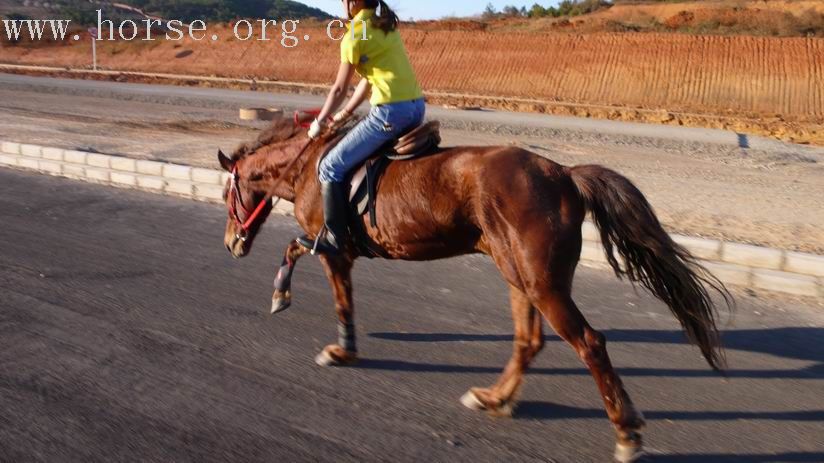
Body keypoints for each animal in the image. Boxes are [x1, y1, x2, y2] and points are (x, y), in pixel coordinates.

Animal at [217, 113, 728, 463]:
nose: (230, 244)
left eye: (228, 193)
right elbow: (305, 261)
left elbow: (329, 287)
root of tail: (565, 174)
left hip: (541, 282)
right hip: (519, 275)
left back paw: (626, 433)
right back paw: (494, 398)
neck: (309, 167)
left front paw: (334, 343)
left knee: (589, 342)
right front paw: (294, 306)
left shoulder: (333, 249)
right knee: (529, 341)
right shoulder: (333, 249)